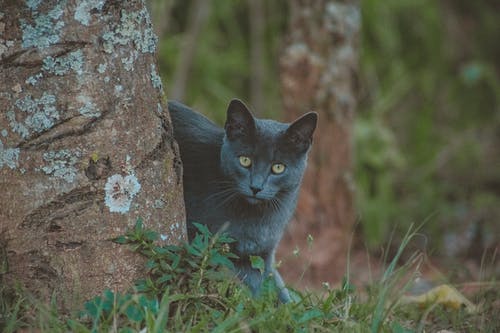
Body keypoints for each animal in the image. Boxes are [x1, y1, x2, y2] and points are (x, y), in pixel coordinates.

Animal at [168, 98, 316, 300]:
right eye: (245, 160)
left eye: (278, 167)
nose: (256, 187)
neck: (258, 218)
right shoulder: (200, 237)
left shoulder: (261, 255)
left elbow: (275, 288)